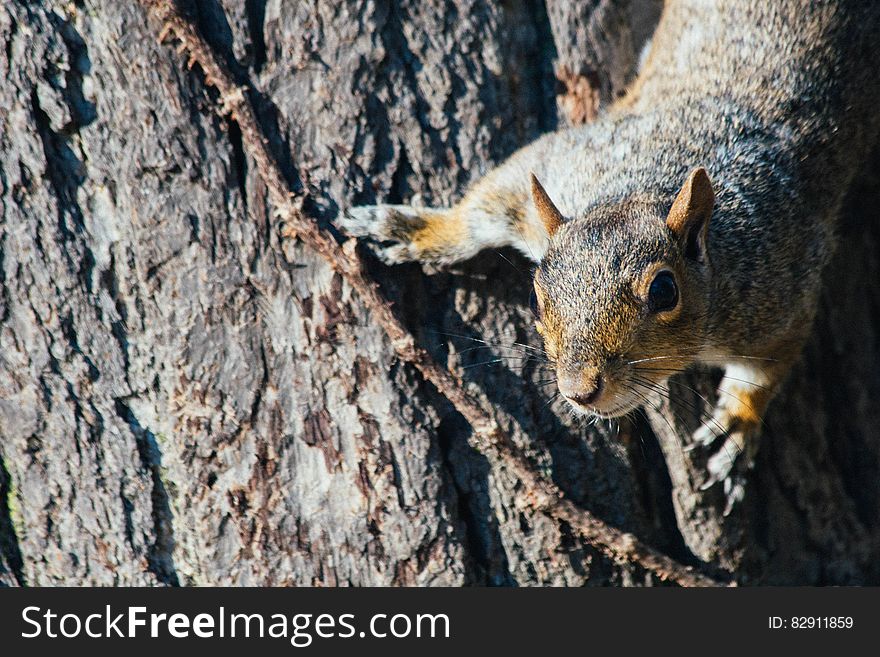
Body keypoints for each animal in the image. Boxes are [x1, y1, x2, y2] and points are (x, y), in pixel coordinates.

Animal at [340, 1, 880, 512]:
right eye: (536, 298)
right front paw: (420, 229)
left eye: (664, 291)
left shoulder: (781, 287)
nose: (579, 390)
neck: (644, 188)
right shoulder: (563, 162)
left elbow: (769, 364)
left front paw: (738, 422)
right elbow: (488, 202)